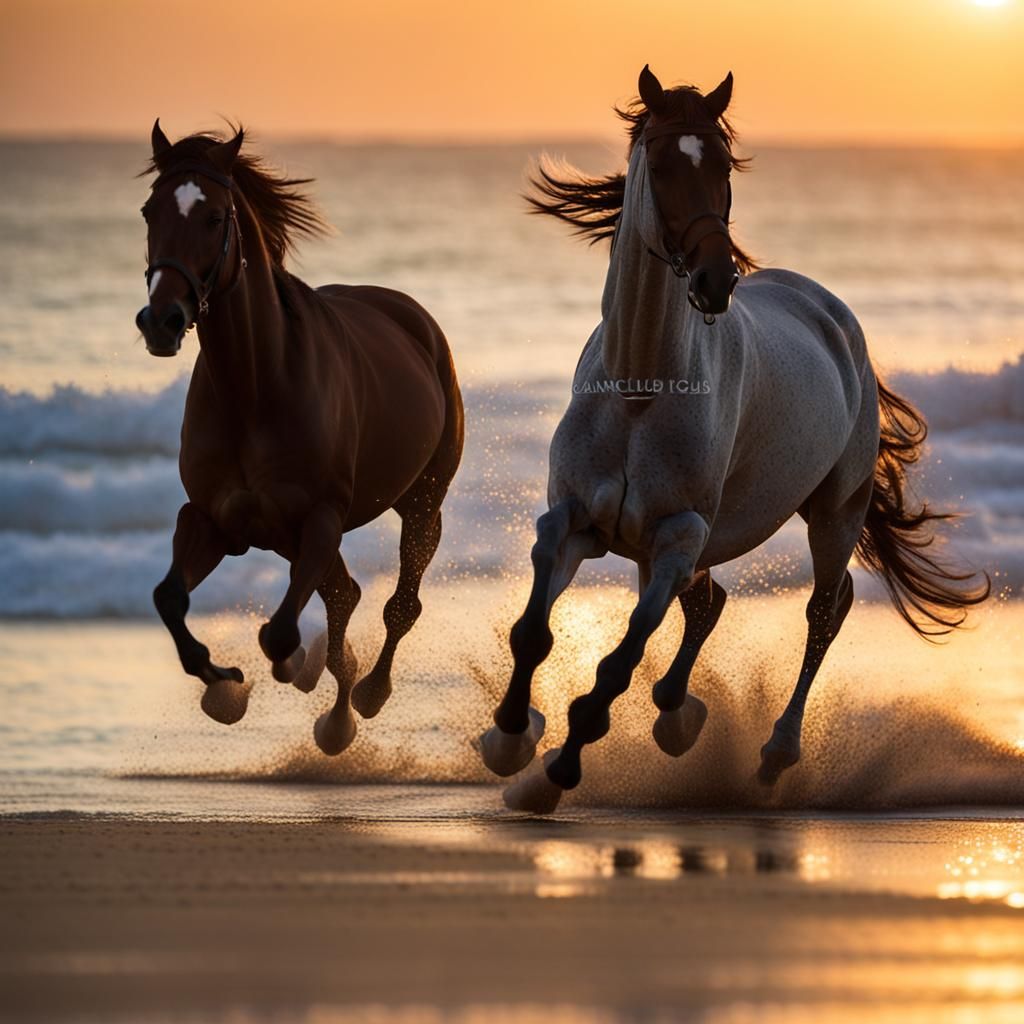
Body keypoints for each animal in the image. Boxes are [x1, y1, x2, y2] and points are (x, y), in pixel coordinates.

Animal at [136, 122, 463, 750]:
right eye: (148, 211)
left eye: (213, 216)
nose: (160, 321)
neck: (256, 388)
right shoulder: (212, 518)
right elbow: (169, 597)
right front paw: (224, 688)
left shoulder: (320, 518)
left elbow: (281, 634)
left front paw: (287, 670)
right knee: (344, 593)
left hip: (421, 501)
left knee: (396, 603)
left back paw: (358, 701)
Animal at [479, 67, 989, 814]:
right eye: (662, 163)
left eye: (723, 164)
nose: (716, 280)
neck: (641, 391)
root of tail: (832, 314)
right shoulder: (574, 521)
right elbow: (535, 627)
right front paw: (510, 739)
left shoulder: (678, 536)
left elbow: (620, 661)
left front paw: (553, 773)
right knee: (710, 604)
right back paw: (677, 716)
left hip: (834, 514)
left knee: (824, 612)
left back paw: (773, 755)